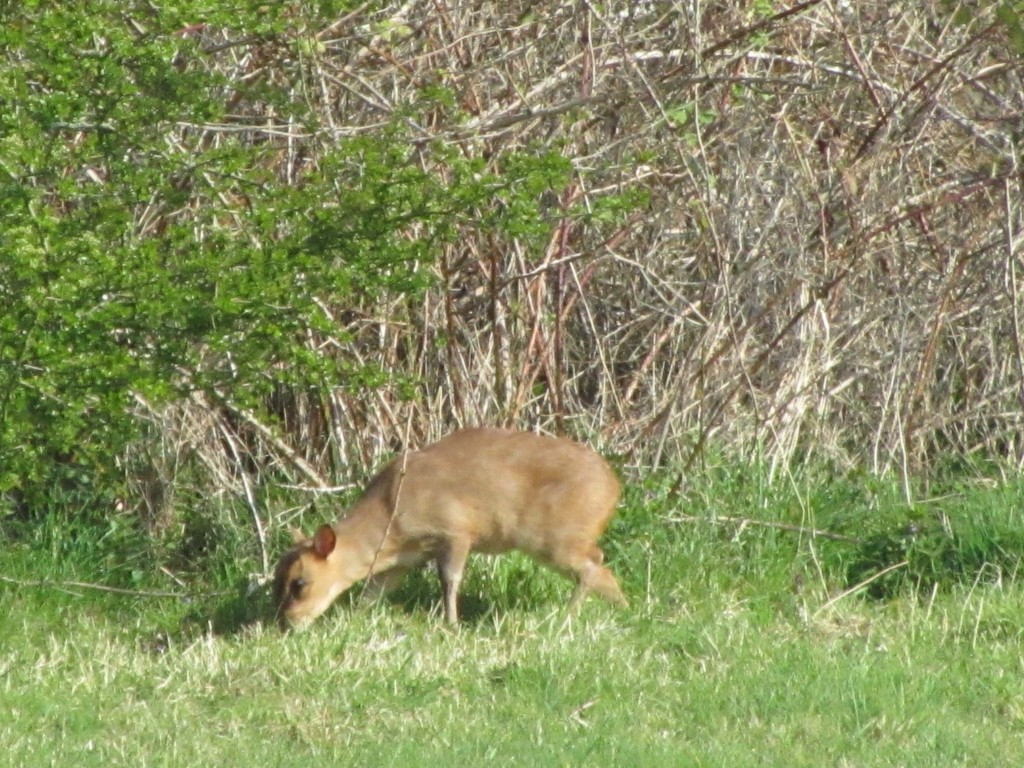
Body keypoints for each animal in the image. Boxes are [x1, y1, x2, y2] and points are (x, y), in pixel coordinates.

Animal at [272, 430, 622, 626]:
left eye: (300, 583)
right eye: (276, 579)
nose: (286, 623)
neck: (391, 512)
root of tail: (613, 488)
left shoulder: (455, 532)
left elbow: (450, 581)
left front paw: (452, 624)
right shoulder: (400, 560)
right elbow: (372, 593)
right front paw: (354, 618)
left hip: (554, 539)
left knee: (592, 567)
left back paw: (565, 618)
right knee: (603, 569)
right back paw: (624, 607)